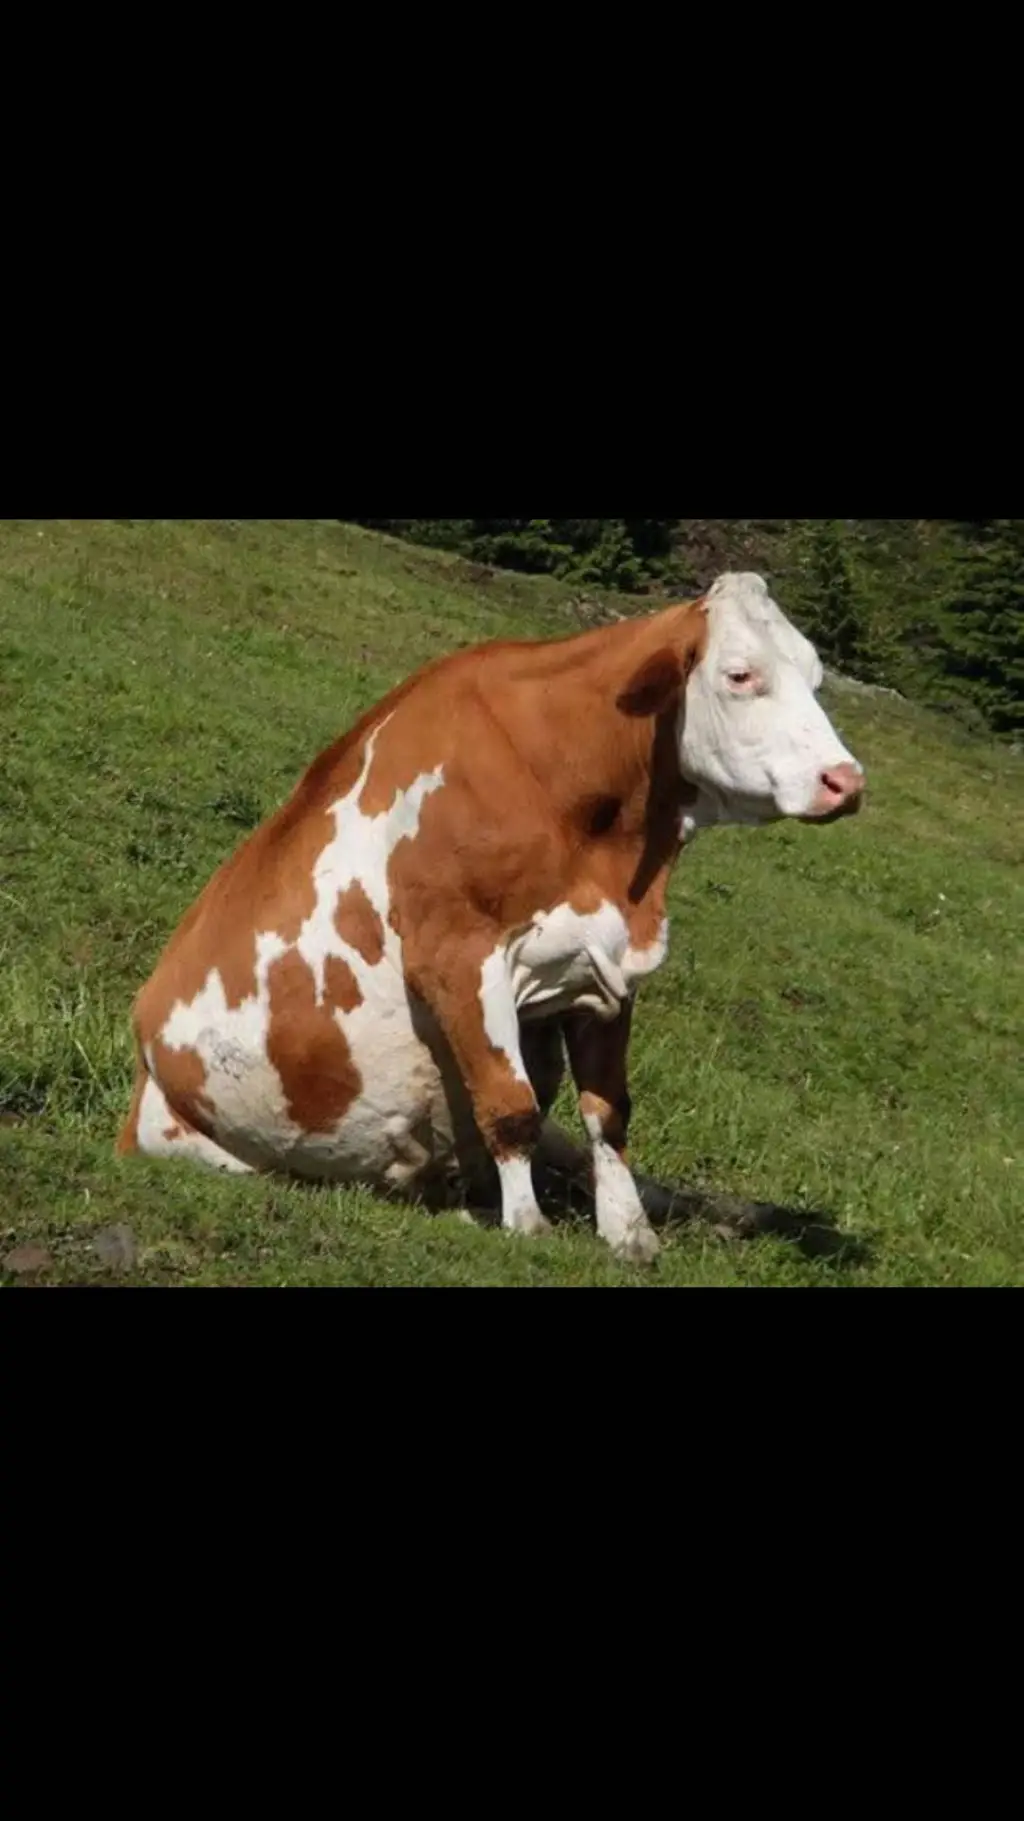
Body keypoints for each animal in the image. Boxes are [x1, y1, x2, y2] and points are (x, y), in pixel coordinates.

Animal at [117, 572, 864, 1264]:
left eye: (815, 675)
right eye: (740, 674)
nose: (846, 781)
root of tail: (144, 1043)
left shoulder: (608, 964)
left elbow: (608, 1115)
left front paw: (628, 1233)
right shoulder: (458, 951)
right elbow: (509, 1103)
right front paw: (527, 1226)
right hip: (195, 1142)